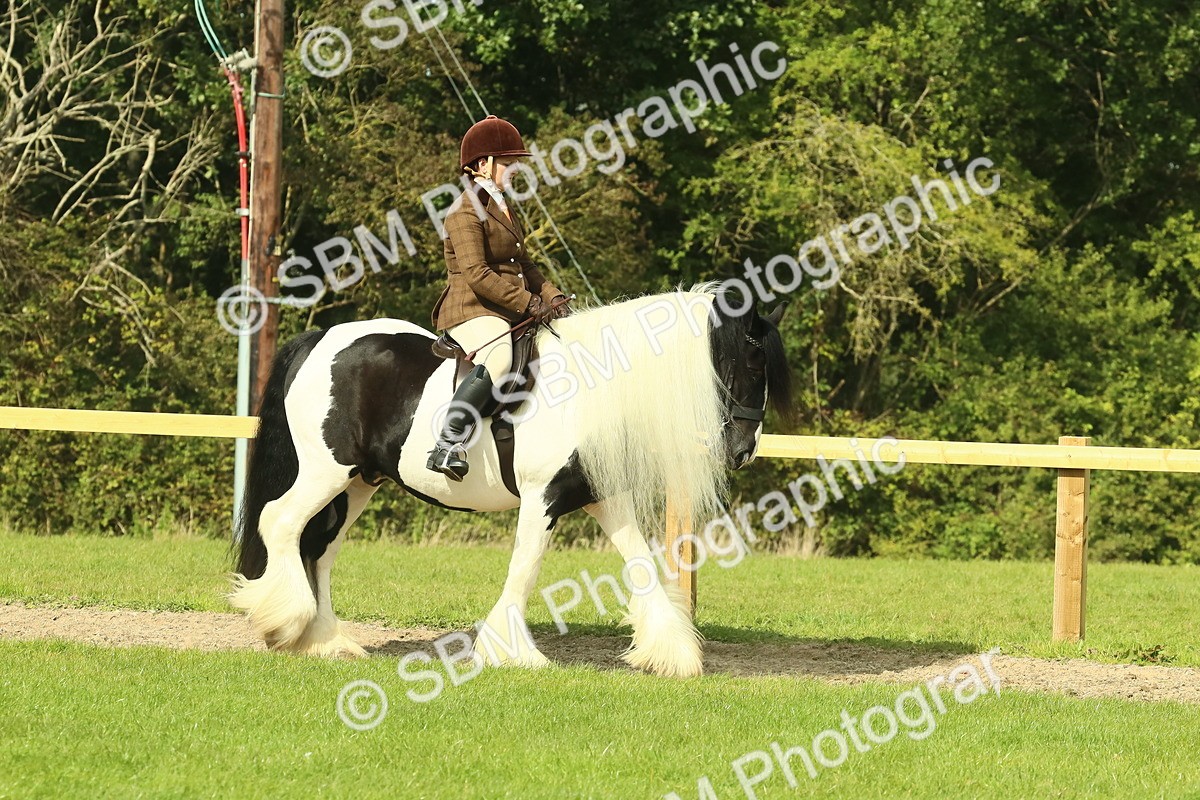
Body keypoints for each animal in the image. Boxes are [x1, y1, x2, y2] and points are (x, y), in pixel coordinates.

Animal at [230, 284, 792, 677]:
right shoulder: (543, 497)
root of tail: (321, 339)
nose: (743, 451)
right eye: (750, 364)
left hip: (358, 482)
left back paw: (325, 640)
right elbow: (525, 567)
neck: (592, 389)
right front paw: (513, 652)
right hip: (326, 470)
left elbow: (642, 565)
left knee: (319, 551)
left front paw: (672, 654)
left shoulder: (604, 499)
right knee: (279, 523)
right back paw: (285, 623)